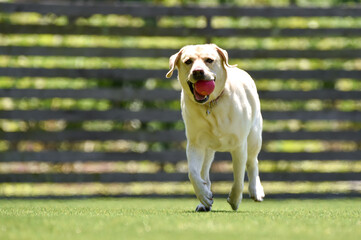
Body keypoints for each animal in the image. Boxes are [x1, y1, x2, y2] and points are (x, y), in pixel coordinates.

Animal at [165, 44, 262, 211]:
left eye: (209, 60)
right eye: (188, 61)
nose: (198, 72)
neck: (211, 104)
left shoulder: (239, 145)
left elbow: (239, 177)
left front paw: (235, 199)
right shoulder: (195, 143)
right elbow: (193, 172)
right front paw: (204, 195)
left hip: (254, 136)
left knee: (252, 161)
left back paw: (256, 190)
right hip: (208, 150)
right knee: (204, 171)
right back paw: (204, 201)